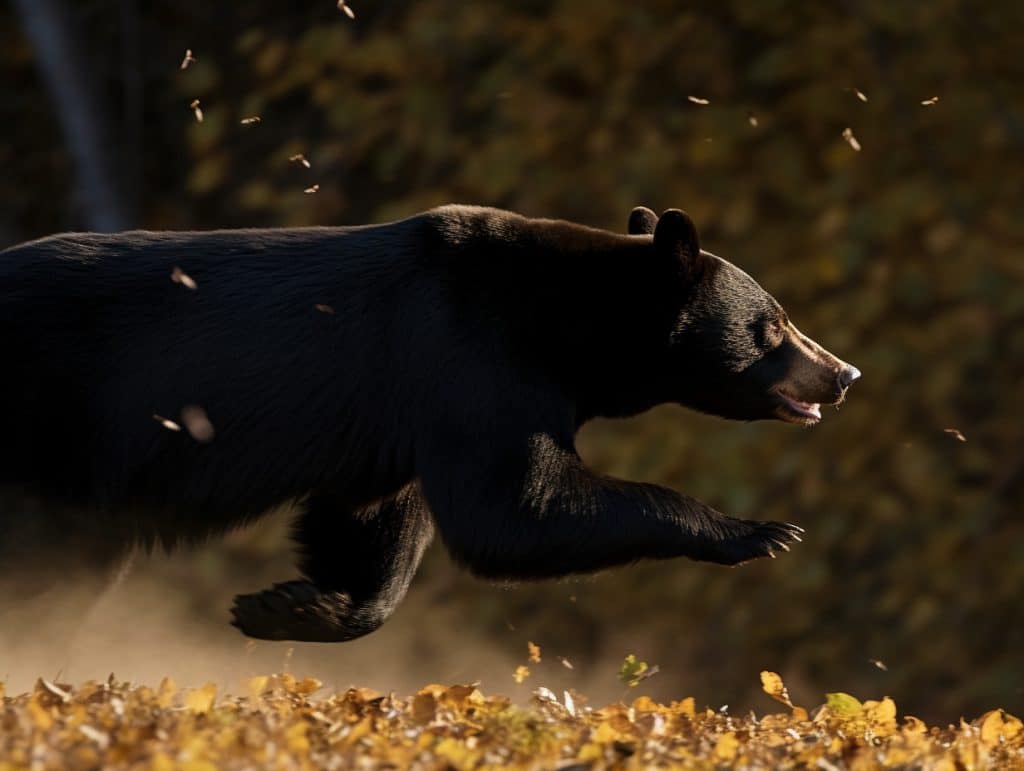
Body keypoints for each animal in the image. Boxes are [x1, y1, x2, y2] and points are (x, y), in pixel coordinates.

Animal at [0, 205, 860, 643]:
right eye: (773, 325)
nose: (843, 373)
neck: (564, 327)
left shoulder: (399, 415)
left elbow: (372, 518)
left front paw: (297, 605)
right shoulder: (470, 358)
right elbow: (514, 507)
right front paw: (759, 531)